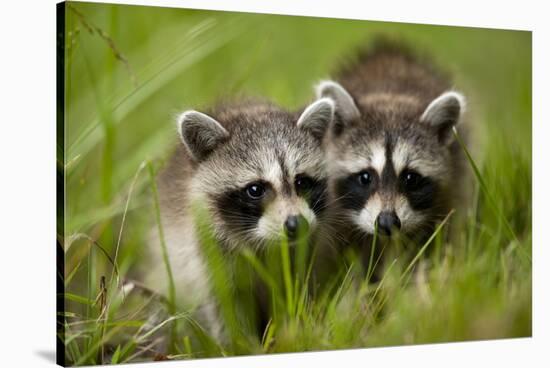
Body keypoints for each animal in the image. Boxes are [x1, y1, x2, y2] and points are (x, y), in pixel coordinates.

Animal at [144, 97, 334, 342]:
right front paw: (241, 344)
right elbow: (226, 307)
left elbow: (299, 290)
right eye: (255, 189)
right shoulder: (207, 254)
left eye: (302, 182)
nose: (296, 224)